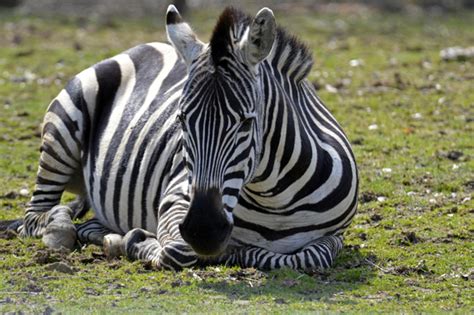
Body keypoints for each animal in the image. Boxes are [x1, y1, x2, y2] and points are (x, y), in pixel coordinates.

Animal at [9, 4, 358, 272]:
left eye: (246, 123)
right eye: (180, 119)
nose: (203, 230)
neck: (274, 200)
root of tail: (145, 45)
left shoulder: (336, 235)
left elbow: (308, 257)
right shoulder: (176, 196)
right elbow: (178, 251)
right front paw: (137, 242)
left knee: (86, 223)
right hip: (64, 123)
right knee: (36, 215)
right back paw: (61, 229)